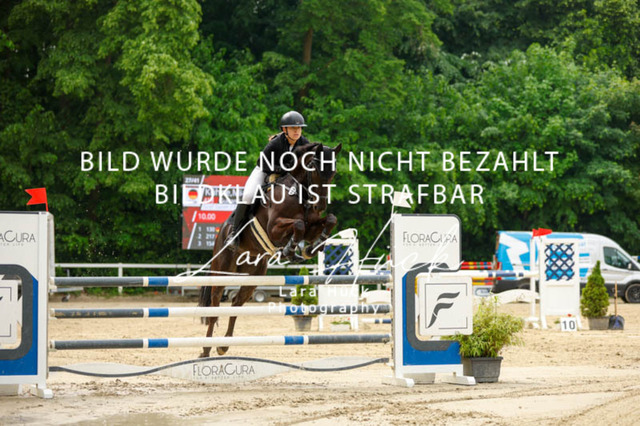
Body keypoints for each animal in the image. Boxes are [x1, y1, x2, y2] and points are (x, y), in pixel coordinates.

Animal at [198, 142, 342, 357]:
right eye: (316, 171)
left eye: (333, 173)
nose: (320, 205)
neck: (299, 193)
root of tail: (221, 232)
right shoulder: (274, 228)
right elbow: (298, 224)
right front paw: (290, 250)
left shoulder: (312, 226)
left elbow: (330, 220)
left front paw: (311, 248)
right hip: (222, 271)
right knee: (215, 307)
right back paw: (206, 350)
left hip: (253, 275)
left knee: (236, 304)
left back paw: (223, 346)